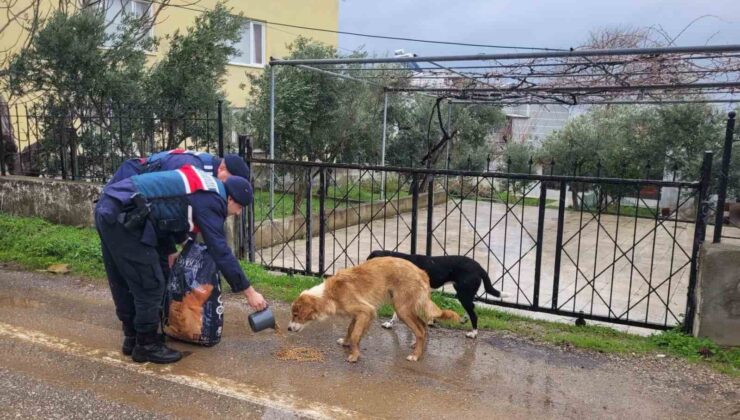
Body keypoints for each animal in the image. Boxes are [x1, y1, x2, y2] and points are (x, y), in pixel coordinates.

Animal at [286, 258, 460, 362]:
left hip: (402, 309)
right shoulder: (358, 314)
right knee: (423, 326)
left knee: (420, 330)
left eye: (296, 315)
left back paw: (415, 355)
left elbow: (356, 335)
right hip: (405, 308)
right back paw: (417, 347)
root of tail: (422, 272)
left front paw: (354, 355)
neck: (329, 294)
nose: (288, 328)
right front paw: (346, 342)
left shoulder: (366, 311)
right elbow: (350, 330)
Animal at [368, 249, 500, 338]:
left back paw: (473, 333)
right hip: (464, 293)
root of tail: (480, 268)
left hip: (463, 294)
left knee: (474, 313)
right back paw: (464, 320)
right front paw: (390, 324)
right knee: (472, 307)